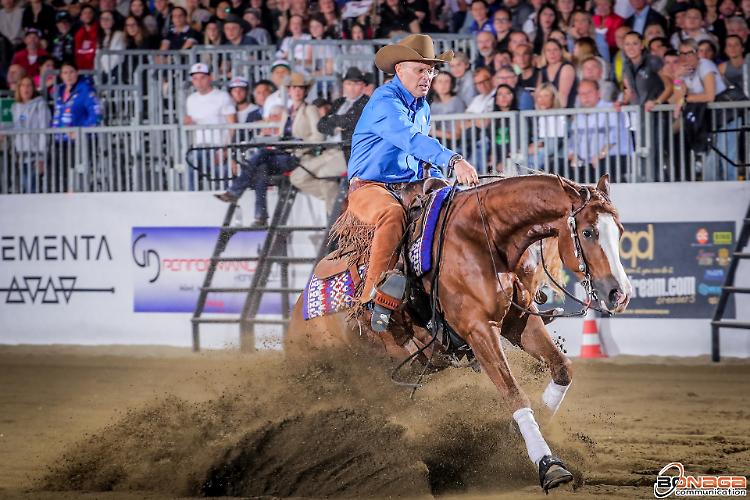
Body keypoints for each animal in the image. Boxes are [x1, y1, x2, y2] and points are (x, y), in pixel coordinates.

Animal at [285, 173, 632, 492]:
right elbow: (513, 393)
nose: (620, 293)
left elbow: (562, 368)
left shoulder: (519, 321)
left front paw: (518, 435)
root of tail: (297, 317)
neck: (483, 238)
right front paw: (548, 464)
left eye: (620, 231)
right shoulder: (478, 330)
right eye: (588, 232)